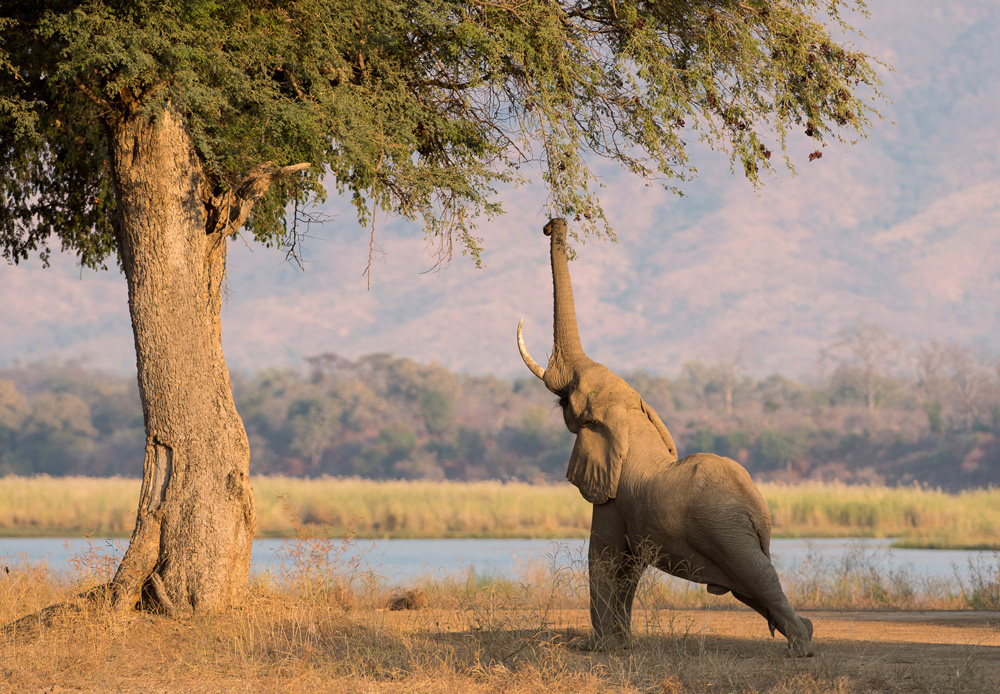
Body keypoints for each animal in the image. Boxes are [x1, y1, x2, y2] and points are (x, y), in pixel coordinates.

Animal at [516, 218, 812, 656]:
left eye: (568, 399)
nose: (553, 224)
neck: (630, 419)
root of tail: (759, 512)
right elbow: (628, 568)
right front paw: (621, 644)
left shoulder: (613, 499)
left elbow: (604, 558)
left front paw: (599, 648)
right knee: (753, 587)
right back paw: (803, 633)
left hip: (727, 532)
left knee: (760, 578)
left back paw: (801, 646)